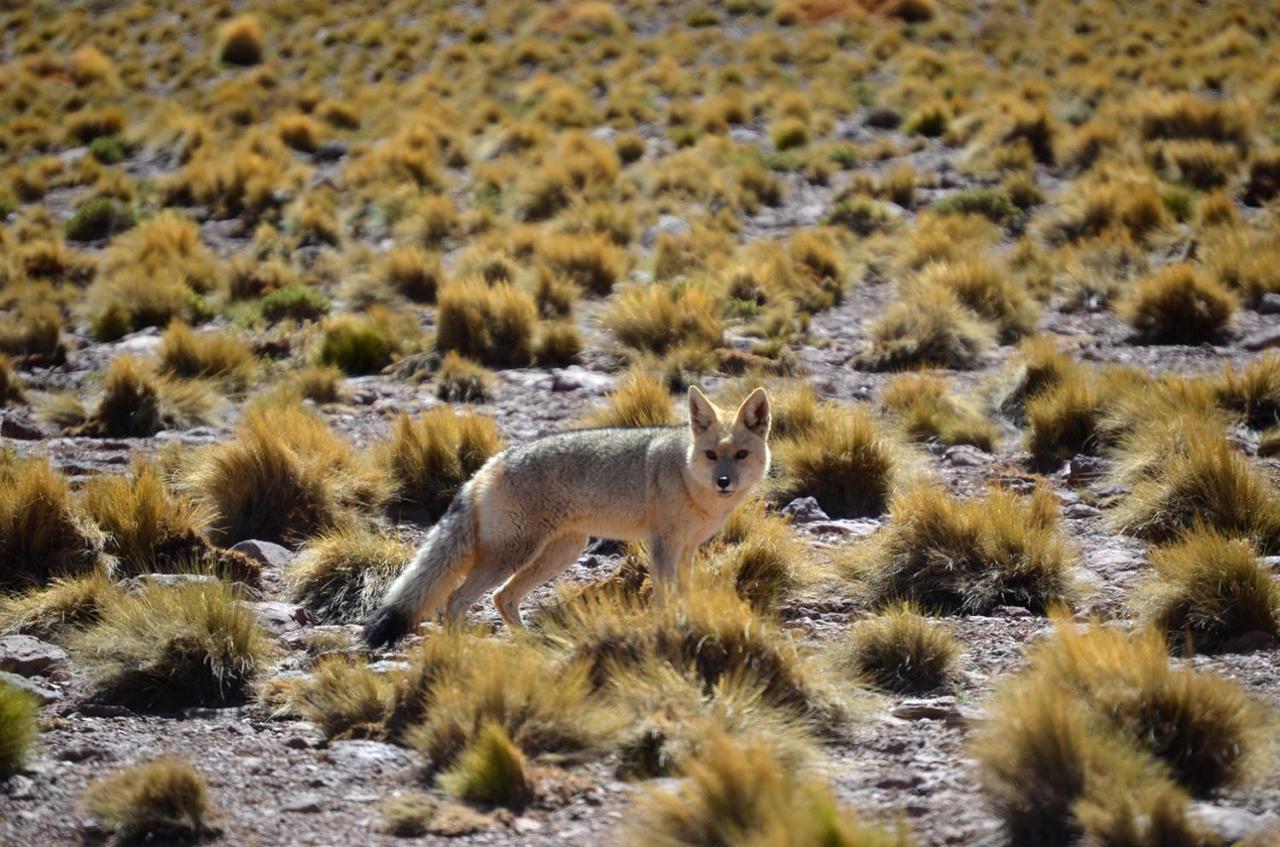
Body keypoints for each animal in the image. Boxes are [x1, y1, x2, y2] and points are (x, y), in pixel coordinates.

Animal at [366, 386, 773, 649]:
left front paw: (689, 619)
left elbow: (683, 591)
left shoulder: (687, 548)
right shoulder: (662, 545)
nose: (723, 482)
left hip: (560, 553)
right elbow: (666, 594)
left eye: (739, 455)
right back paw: (457, 653)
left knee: (501, 597)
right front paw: (672, 626)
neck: (689, 478)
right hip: (514, 555)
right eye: (710, 455)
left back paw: (529, 641)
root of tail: (488, 464)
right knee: (456, 599)